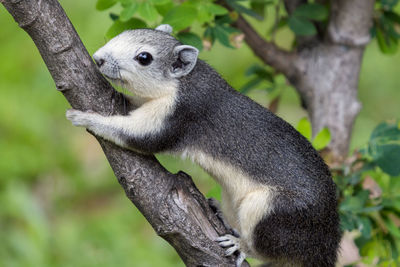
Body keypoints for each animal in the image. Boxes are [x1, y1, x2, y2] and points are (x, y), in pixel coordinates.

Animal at [66, 24, 340, 267]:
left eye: (144, 58)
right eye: (123, 33)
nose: (98, 58)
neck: (182, 81)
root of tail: (325, 245)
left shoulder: (180, 114)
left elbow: (139, 137)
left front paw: (86, 118)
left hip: (273, 211)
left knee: (266, 249)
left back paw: (240, 244)